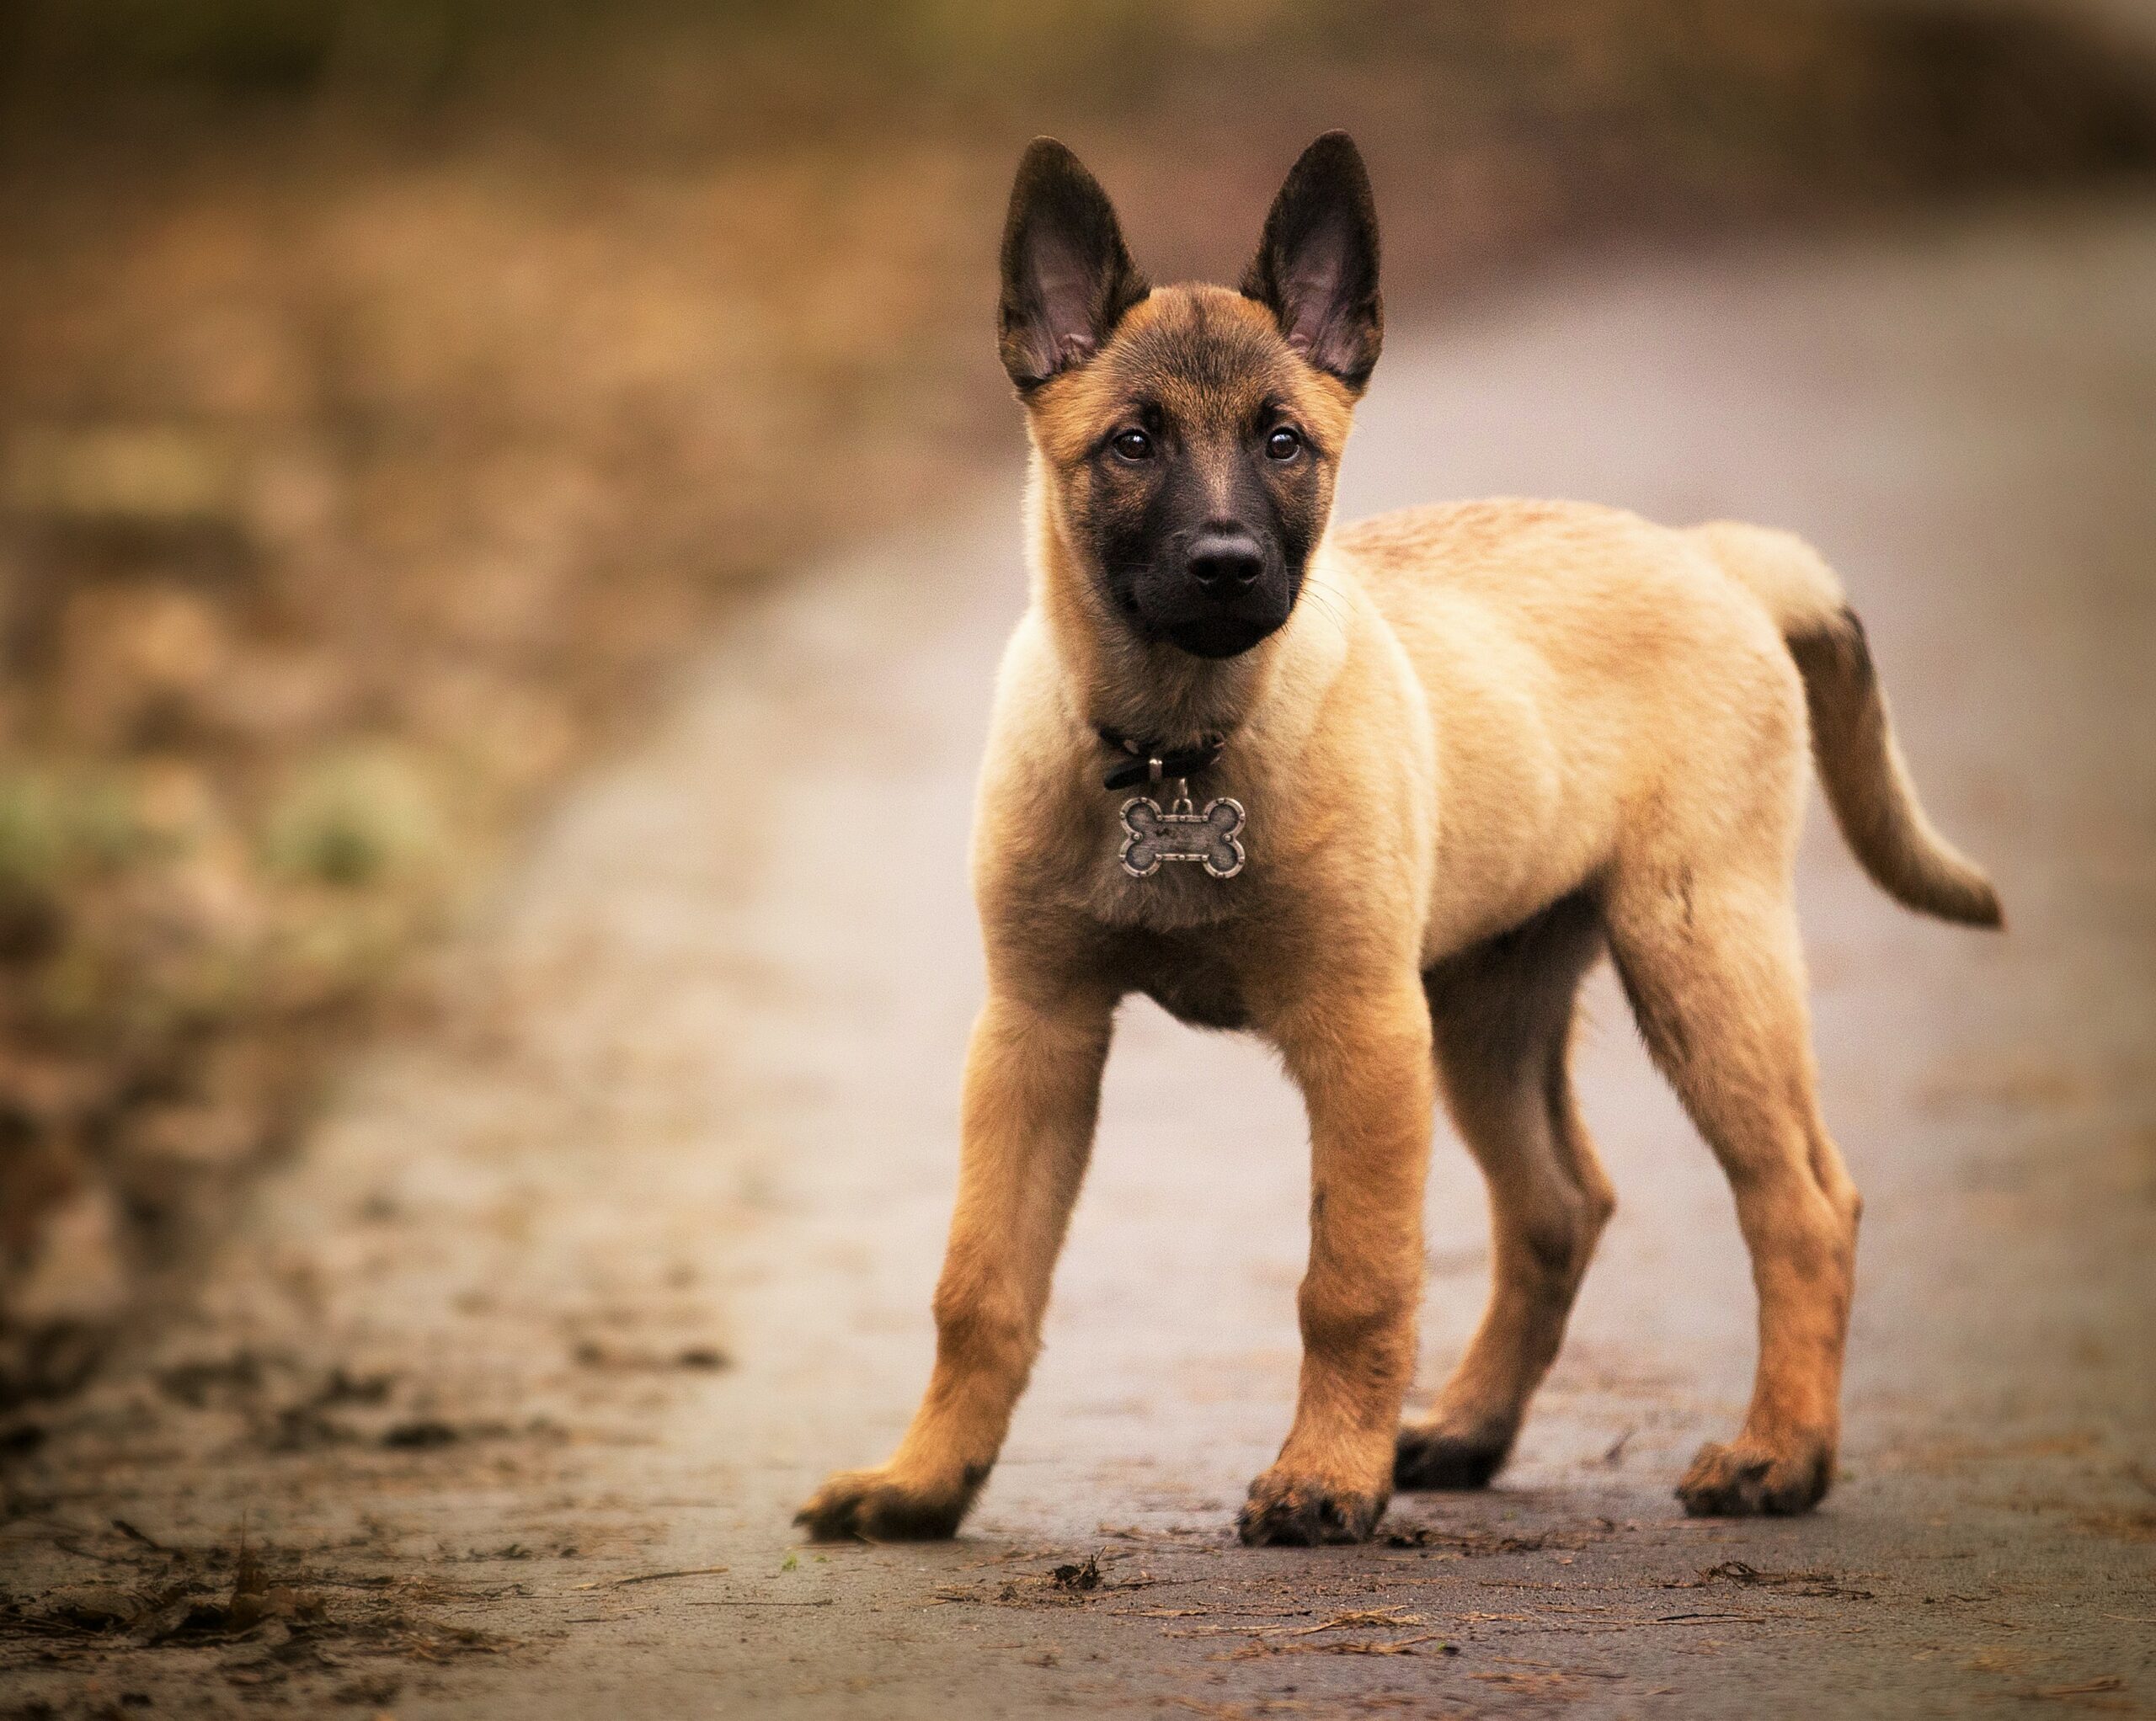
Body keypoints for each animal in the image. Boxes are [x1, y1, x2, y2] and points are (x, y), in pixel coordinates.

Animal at [798, 131, 2000, 1553]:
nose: (1226, 564)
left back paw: (1780, 1456)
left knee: (1805, 1205)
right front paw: (924, 1482)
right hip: (1489, 1002)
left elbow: (1353, 1281)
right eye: (1133, 444)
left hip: (1699, 956)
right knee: (1559, 1207)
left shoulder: (1359, 1032)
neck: (1178, 748)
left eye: (1285, 443)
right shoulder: (1037, 1032)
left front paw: (1324, 1478)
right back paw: (1471, 1429)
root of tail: (1714, 557)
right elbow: (980, 1286)